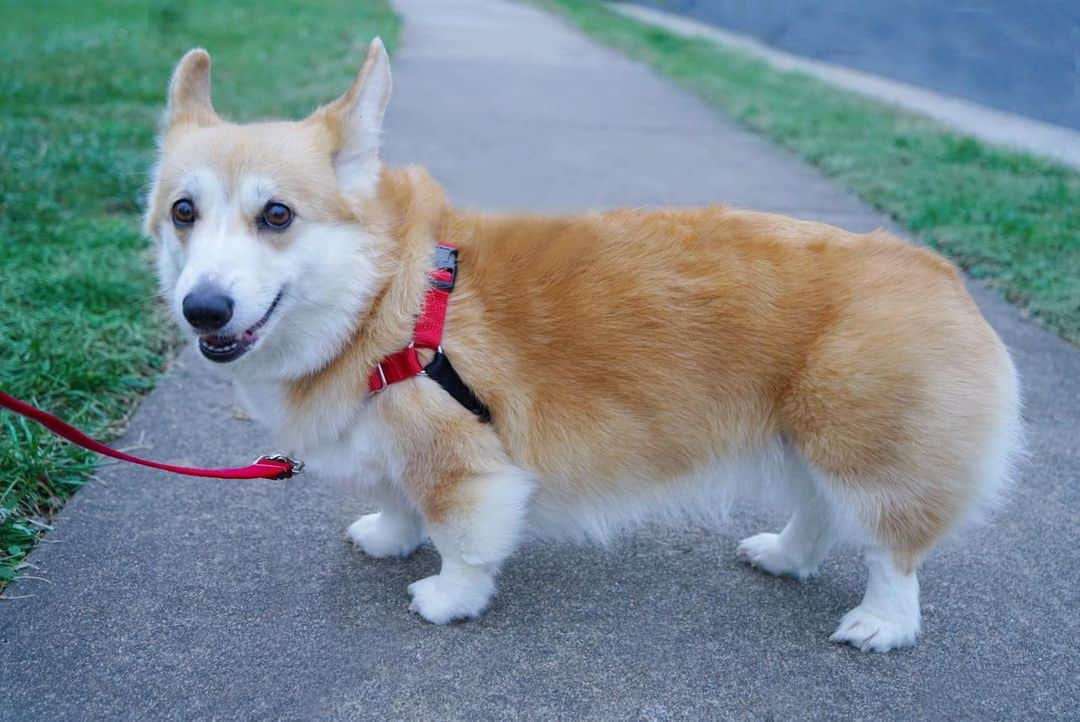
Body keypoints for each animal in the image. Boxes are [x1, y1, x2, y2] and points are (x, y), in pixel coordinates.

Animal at [150, 40, 1019, 651]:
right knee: (817, 511)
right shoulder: (396, 447)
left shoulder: (465, 463)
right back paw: (782, 553)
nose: (203, 309)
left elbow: (460, 537)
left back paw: (883, 623)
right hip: (804, 438)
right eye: (184, 212)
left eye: (277, 216)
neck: (383, 299)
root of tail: (941, 274)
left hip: (862, 451)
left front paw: (447, 599)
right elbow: (399, 499)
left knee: (892, 550)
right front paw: (389, 539)